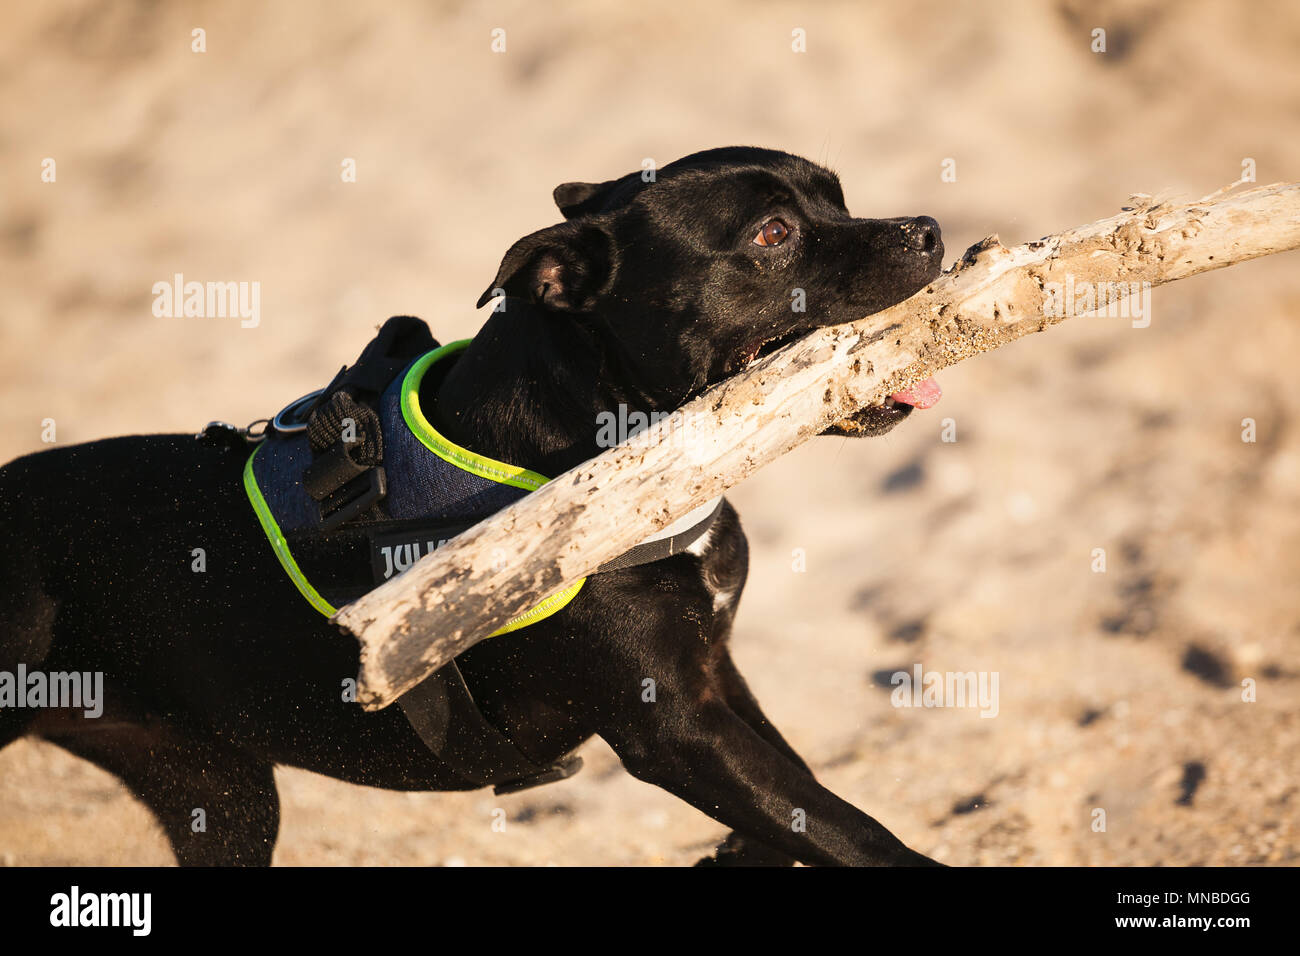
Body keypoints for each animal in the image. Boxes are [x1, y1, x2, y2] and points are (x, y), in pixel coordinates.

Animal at [0, 147, 941, 868]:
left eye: (838, 197)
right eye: (771, 235)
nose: (927, 229)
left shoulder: (717, 676)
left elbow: (802, 793)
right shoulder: (674, 726)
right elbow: (852, 831)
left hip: (219, 792)